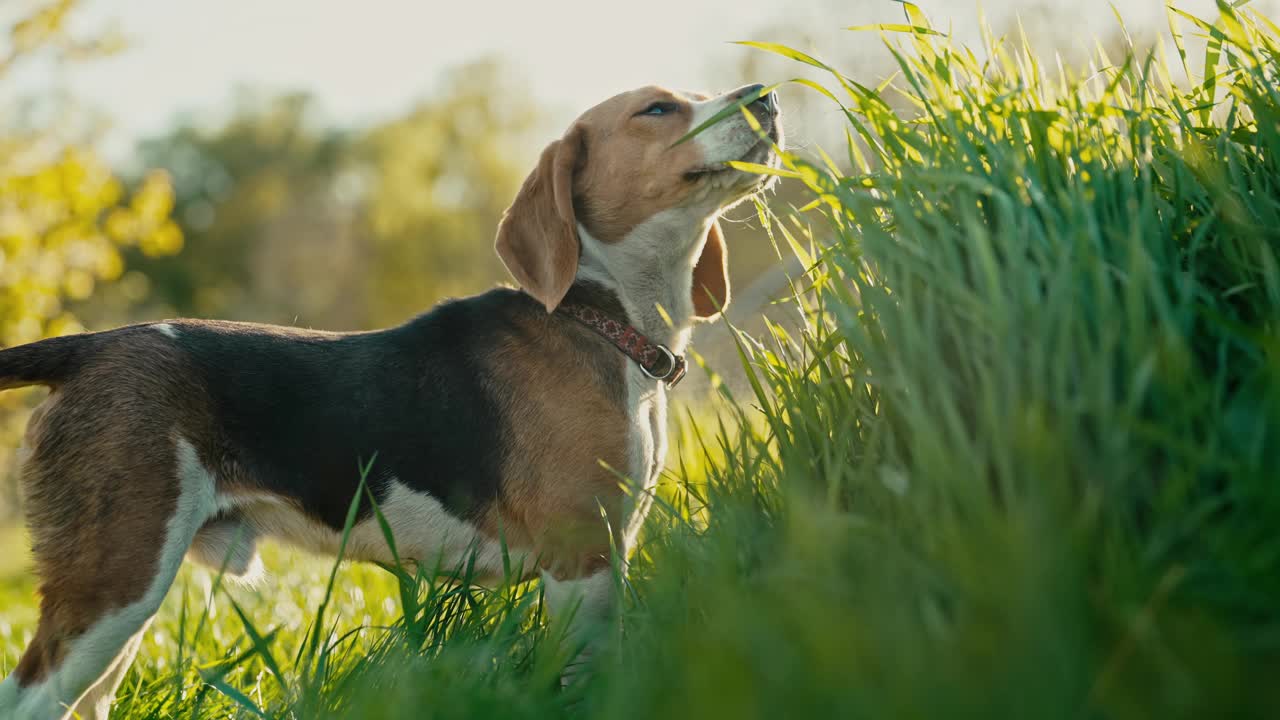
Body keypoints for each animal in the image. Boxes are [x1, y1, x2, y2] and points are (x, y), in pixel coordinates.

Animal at [0, 82, 778, 712]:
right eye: (658, 109)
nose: (766, 96)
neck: (600, 313)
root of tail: (93, 346)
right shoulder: (579, 562)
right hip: (115, 582)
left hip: (120, 607)